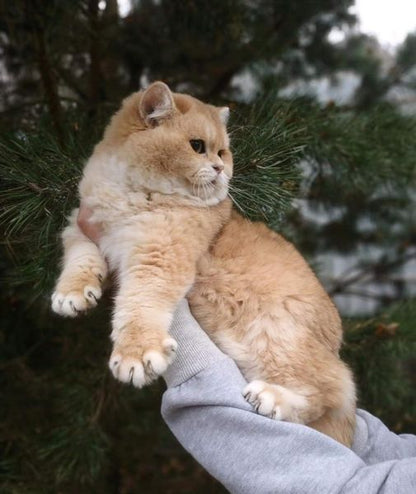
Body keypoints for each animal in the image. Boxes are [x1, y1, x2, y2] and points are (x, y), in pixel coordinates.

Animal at [52, 82, 356, 448]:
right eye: (197, 147)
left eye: (221, 152)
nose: (220, 169)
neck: (131, 192)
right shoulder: (81, 227)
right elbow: (80, 259)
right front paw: (73, 294)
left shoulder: (158, 257)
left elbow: (139, 305)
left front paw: (135, 353)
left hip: (276, 338)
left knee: (333, 390)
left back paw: (272, 399)